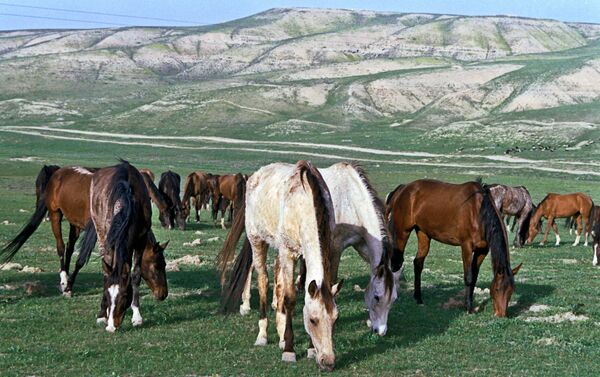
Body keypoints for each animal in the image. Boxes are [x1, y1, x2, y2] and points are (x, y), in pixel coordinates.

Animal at [0, 166, 98, 296]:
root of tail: (60, 170)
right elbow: (81, 258)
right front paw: (68, 288)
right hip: (55, 214)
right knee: (61, 247)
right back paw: (64, 282)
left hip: (74, 222)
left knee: (69, 248)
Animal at [77, 160, 168, 330]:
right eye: (159, 264)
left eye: (125, 295)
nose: (163, 294)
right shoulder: (108, 239)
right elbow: (107, 274)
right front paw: (103, 314)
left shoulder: (139, 241)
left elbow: (135, 274)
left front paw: (137, 316)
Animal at [218, 160, 344, 368]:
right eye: (313, 320)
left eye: (335, 319)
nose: (328, 362)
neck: (304, 204)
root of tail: (255, 176)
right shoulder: (288, 252)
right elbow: (290, 298)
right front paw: (289, 350)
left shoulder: (303, 255)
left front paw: (309, 348)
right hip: (257, 240)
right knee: (263, 280)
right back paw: (263, 335)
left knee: (278, 284)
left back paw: (280, 334)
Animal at [239, 162, 404, 334]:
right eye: (377, 297)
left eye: (393, 299)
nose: (381, 331)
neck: (350, 199)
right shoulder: (335, 248)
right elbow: (331, 281)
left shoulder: (362, 245)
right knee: (253, 267)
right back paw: (245, 305)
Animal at [390, 178, 520, 316]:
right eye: (497, 289)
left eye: (511, 291)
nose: (501, 315)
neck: (478, 211)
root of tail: (404, 188)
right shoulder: (466, 246)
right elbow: (468, 277)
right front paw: (468, 308)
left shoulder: (482, 250)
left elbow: (474, 277)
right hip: (403, 232)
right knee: (396, 263)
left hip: (423, 233)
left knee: (418, 263)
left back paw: (418, 298)